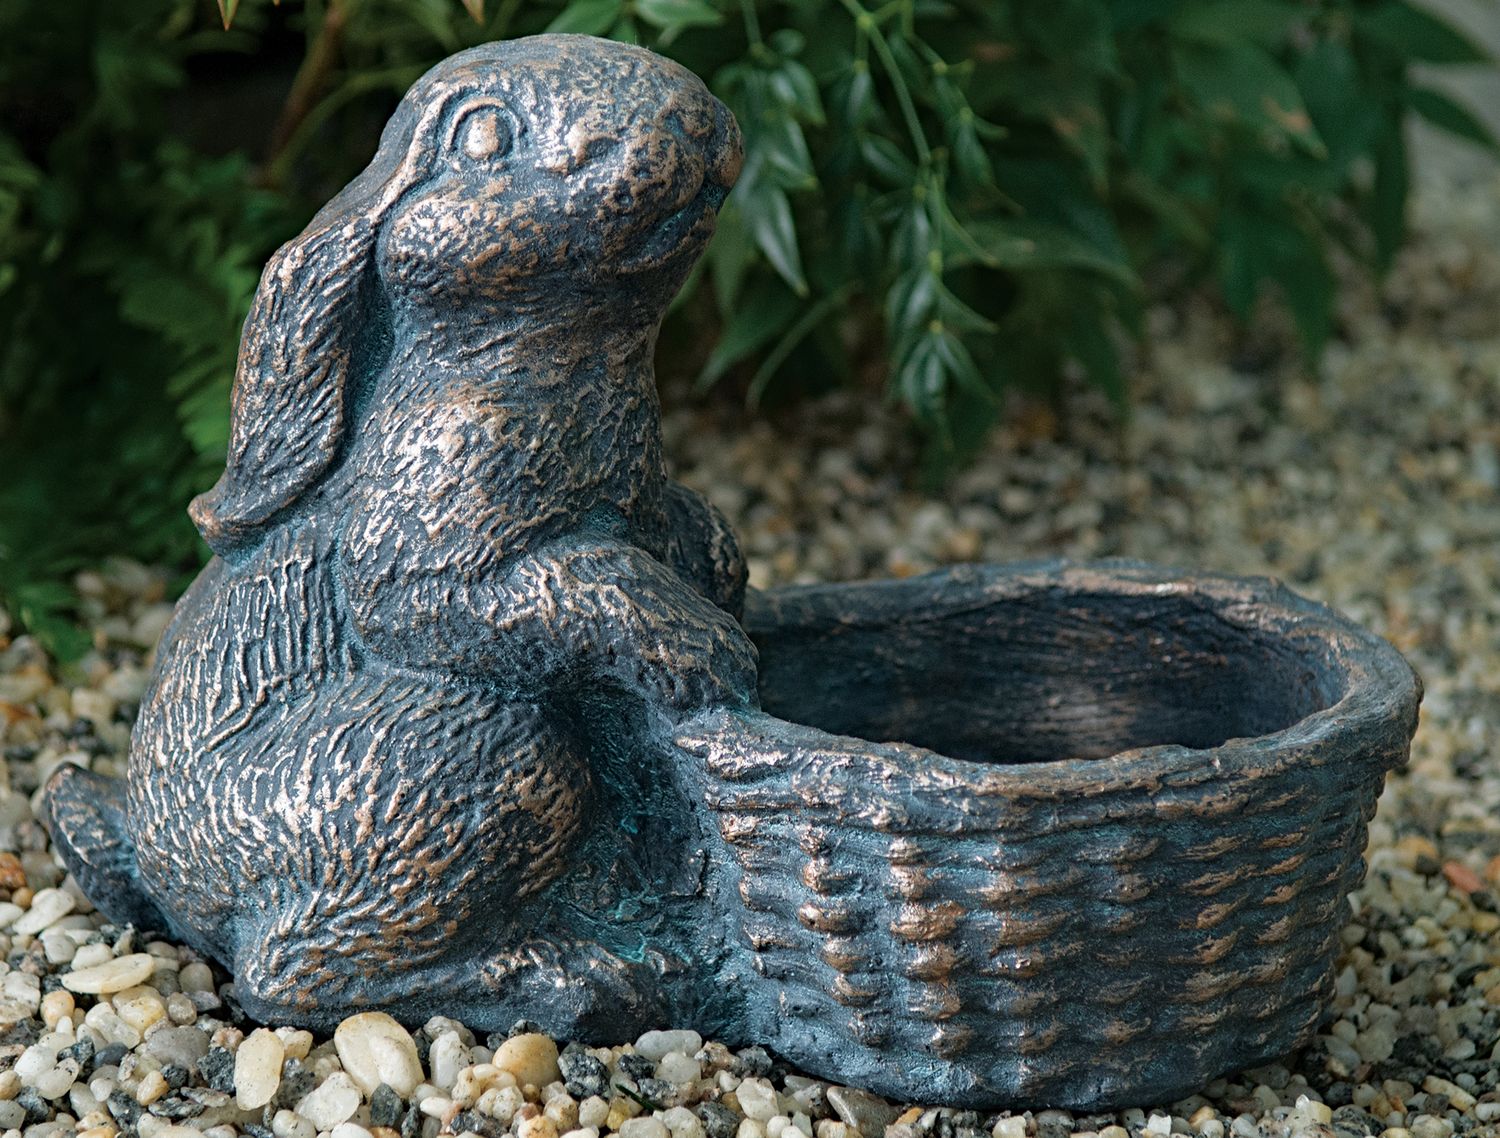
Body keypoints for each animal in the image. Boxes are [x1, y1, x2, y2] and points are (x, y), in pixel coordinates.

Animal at [41, 34, 758, 1036]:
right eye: (484, 134)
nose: (687, 113)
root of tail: (160, 866)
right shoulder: (435, 527)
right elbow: (539, 585)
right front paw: (708, 652)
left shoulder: (646, 496)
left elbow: (681, 533)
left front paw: (723, 574)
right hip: (461, 762)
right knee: (284, 974)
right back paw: (568, 976)